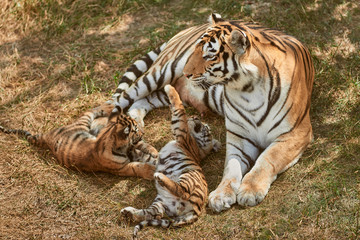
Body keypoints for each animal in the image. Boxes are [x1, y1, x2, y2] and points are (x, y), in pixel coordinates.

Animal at [111, 13, 314, 212]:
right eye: (195, 50)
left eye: (209, 56)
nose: (186, 73)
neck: (247, 90)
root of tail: (189, 28)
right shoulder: (239, 137)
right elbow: (231, 167)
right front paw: (221, 195)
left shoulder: (296, 133)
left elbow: (267, 159)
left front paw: (249, 191)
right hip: (159, 73)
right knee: (120, 98)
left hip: (167, 90)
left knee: (143, 100)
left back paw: (137, 123)